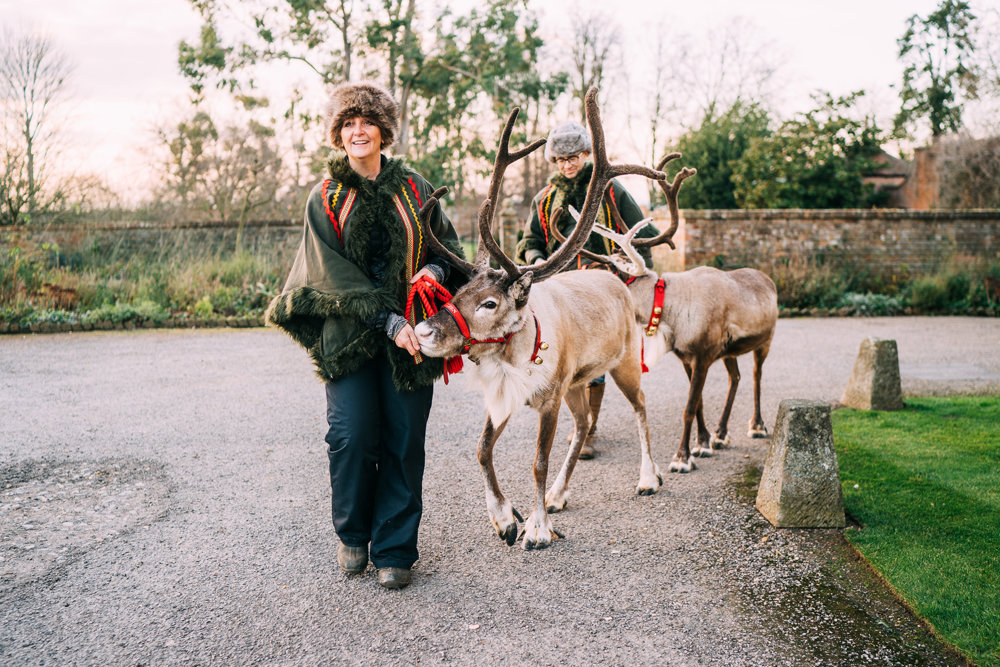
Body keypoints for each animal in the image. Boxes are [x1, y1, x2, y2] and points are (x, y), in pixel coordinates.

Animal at [412, 88, 666, 550]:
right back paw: (559, 495)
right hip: (578, 382)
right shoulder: (505, 398)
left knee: (640, 407)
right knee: (583, 425)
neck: (516, 351)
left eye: (489, 303)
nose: (424, 331)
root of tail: (615, 278)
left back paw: (647, 478)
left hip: (623, 363)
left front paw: (537, 528)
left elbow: (538, 462)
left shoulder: (548, 400)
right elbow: (482, 449)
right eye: (457, 293)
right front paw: (504, 518)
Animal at [561, 153, 778, 473]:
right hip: (729, 351)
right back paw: (721, 434)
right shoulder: (687, 357)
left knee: (756, 376)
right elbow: (698, 402)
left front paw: (681, 458)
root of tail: (767, 278)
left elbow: (689, 407)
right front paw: (703, 443)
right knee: (736, 378)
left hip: (765, 340)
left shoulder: (703, 354)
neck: (670, 305)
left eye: (605, 276)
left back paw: (757, 425)